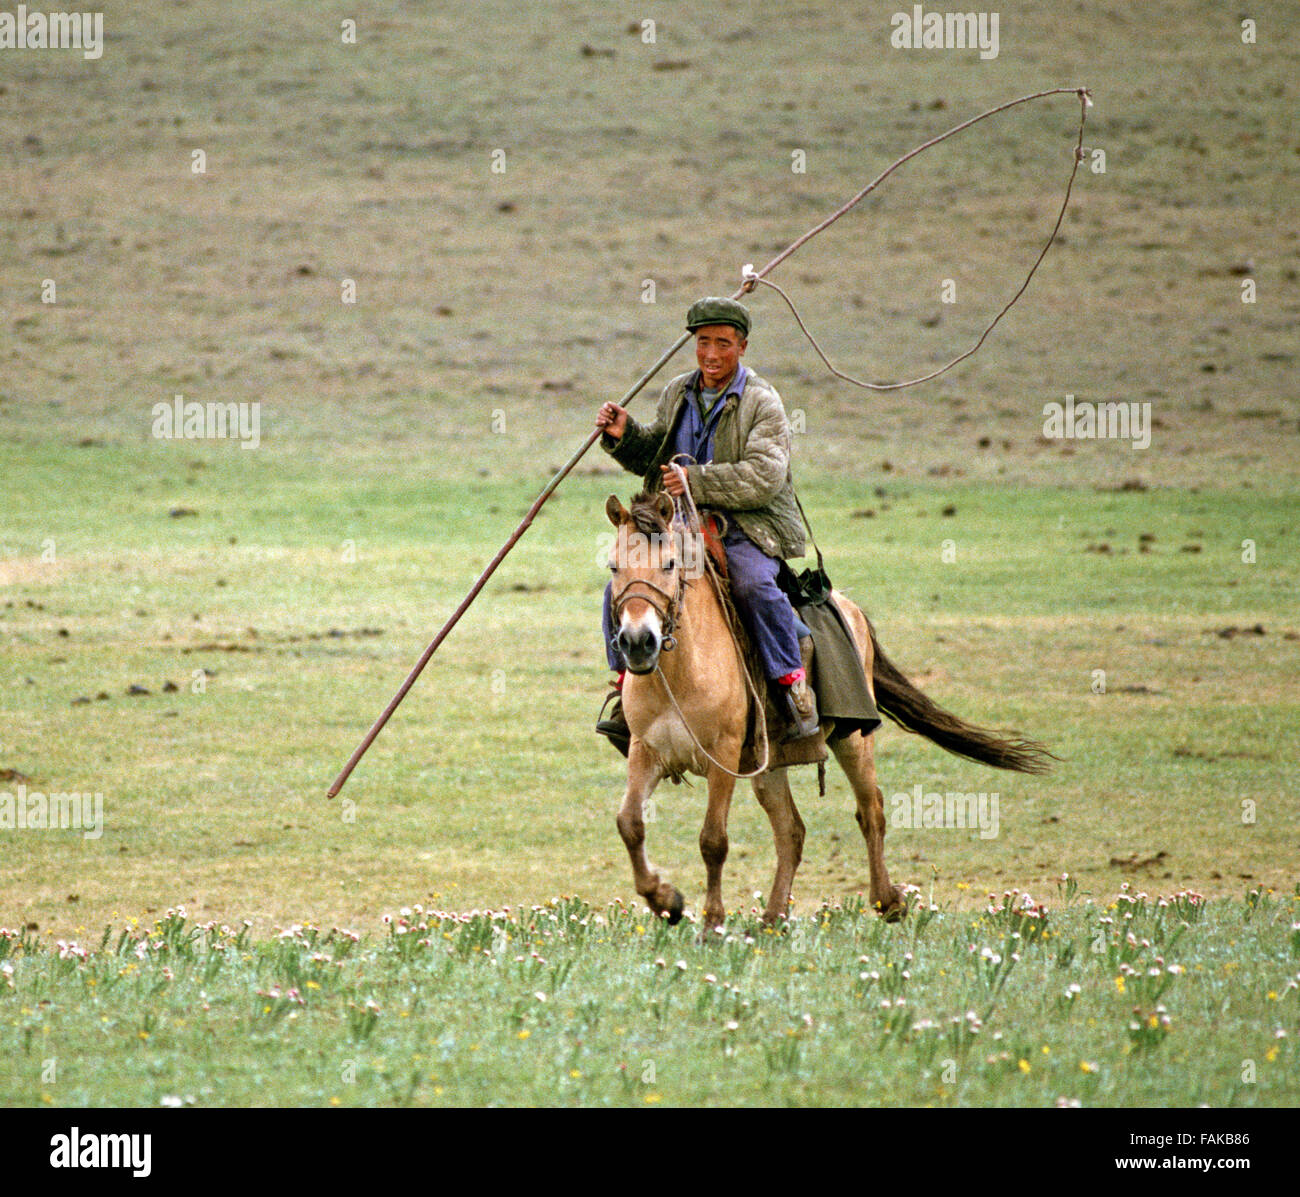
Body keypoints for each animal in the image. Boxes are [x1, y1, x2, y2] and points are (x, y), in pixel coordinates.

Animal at [603, 488, 1050, 935]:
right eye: (613, 565)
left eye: (669, 562)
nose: (638, 642)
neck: (681, 669)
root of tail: (849, 606)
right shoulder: (647, 751)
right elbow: (629, 824)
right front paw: (666, 901)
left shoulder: (723, 756)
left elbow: (713, 840)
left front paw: (712, 924)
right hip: (768, 762)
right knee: (791, 831)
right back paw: (773, 917)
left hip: (852, 740)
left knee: (871, 812)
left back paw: (888, 902)